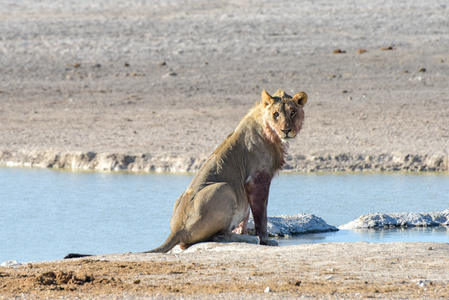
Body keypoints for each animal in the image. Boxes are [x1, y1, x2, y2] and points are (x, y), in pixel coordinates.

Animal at [145, 89, 306, 253]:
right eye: (276, 114)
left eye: (293, 112)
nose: (286, 130)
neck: (271, 133)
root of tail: (177, 230)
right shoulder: (257, 179)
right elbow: (261, 215)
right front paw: (265, 241)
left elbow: (246, 216)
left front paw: (244, 232)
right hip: (225, 188)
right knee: (219, 236)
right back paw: (250, 239)